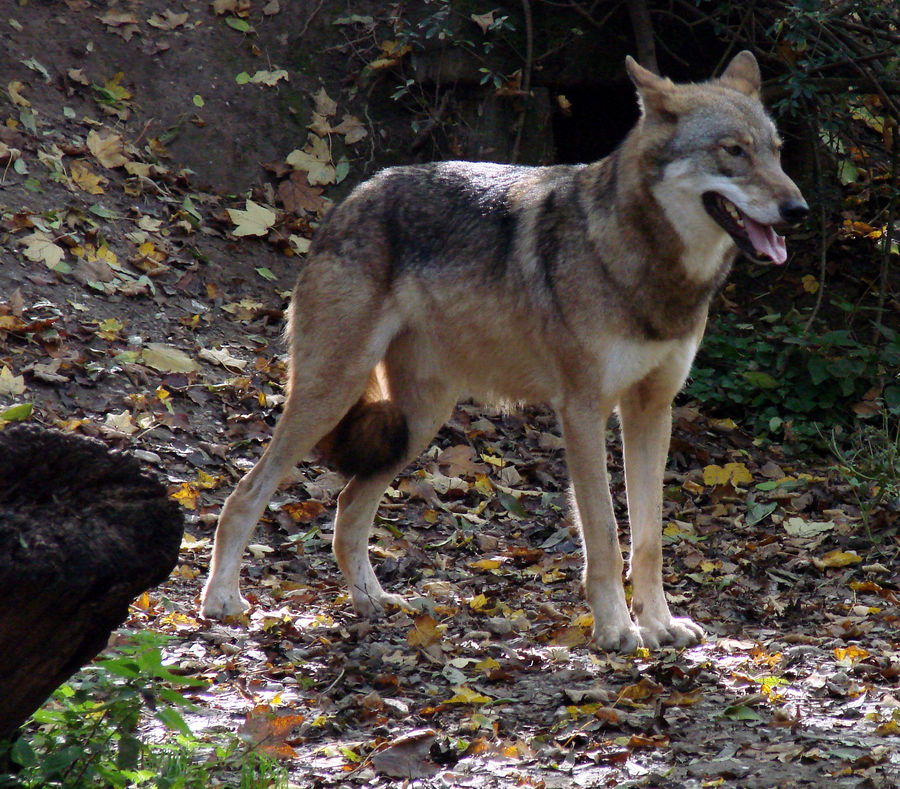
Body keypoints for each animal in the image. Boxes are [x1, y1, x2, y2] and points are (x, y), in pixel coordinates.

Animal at [202, 52, 808, 648]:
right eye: (732, 151)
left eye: (777, 152)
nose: (798, 208)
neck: (646, 267)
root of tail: (354, 194)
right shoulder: (583, 412)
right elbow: (606, 535)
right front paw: (616, 630)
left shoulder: (652, 411)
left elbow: (650, 539)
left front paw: (659, 625)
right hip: (334, 393)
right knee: (245, 494)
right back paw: (222, 602)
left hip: (418, 420)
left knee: (349, 507)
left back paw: (373, 601)